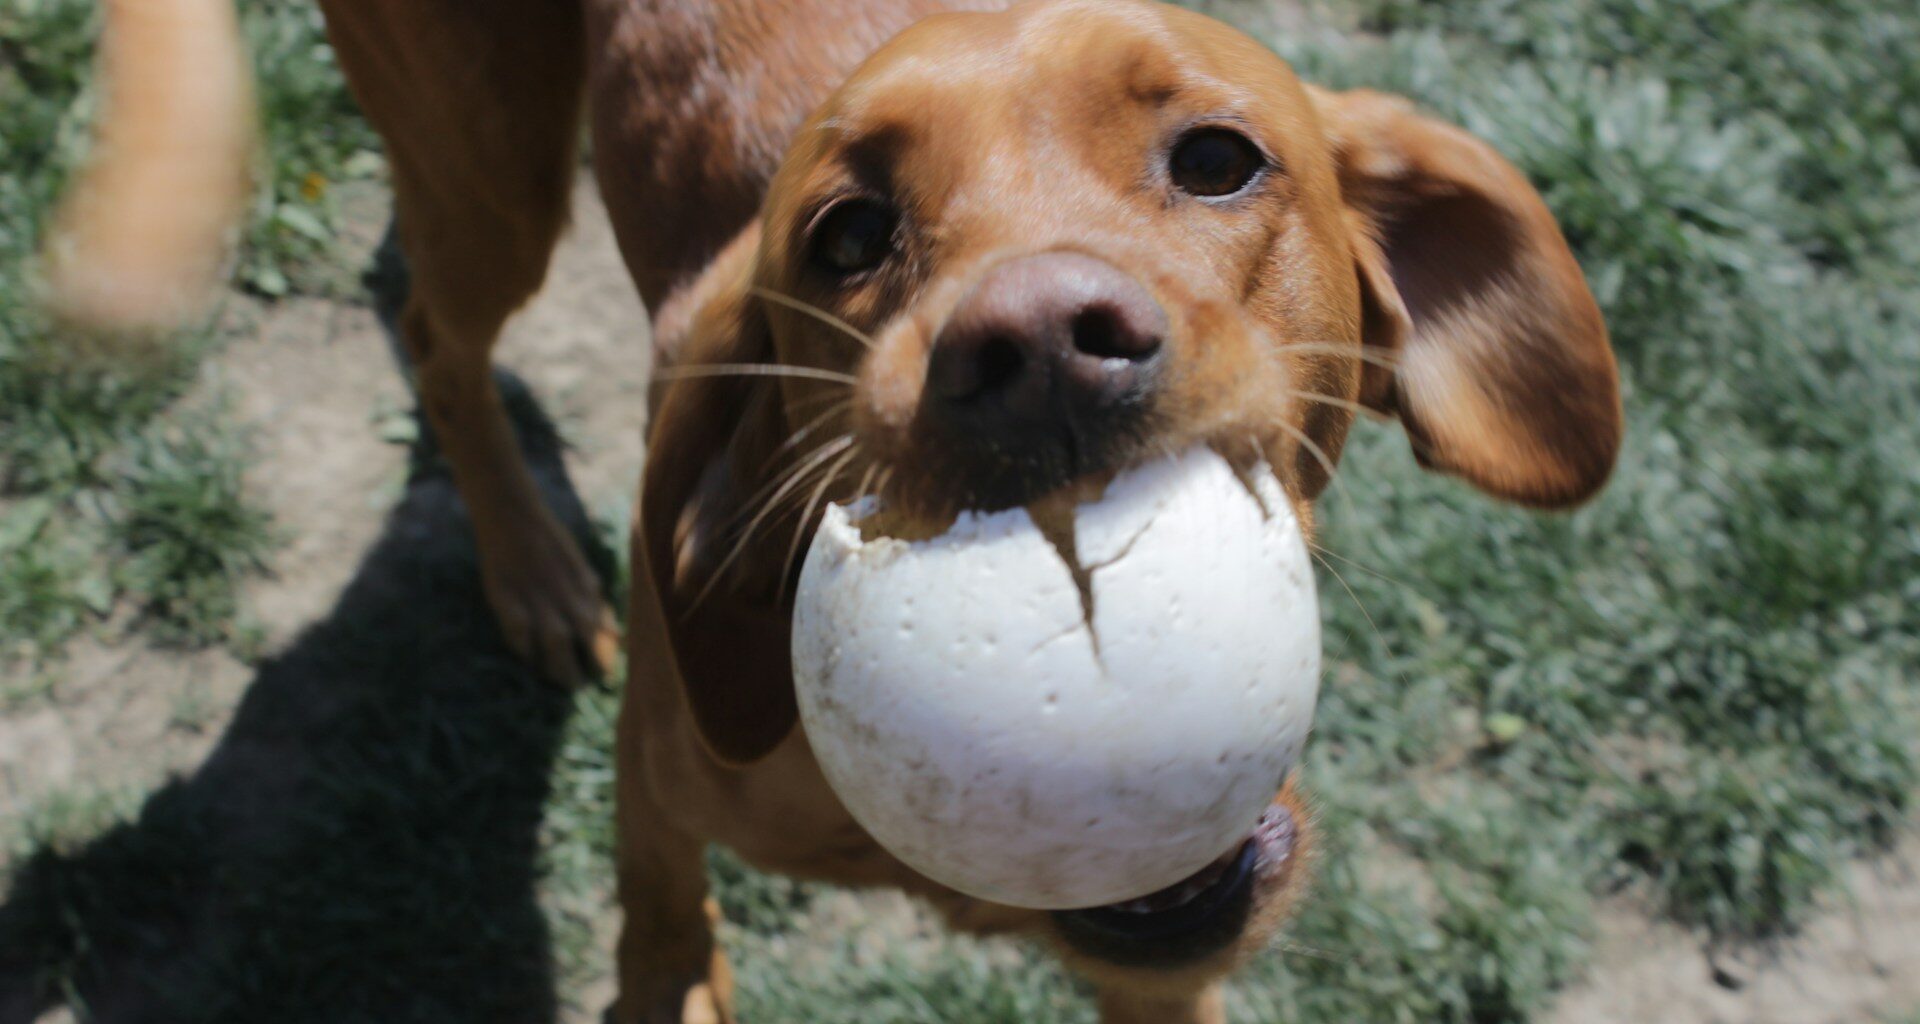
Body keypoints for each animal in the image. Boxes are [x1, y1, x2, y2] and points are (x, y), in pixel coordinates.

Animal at [63, 0, 1620, 1014]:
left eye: (1216, 159)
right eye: (850, 235)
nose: (1036, 352)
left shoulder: (1168, 961)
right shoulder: (659, 784)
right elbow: (661, 933)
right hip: (491, 164)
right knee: (440, 336)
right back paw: (535, 573)